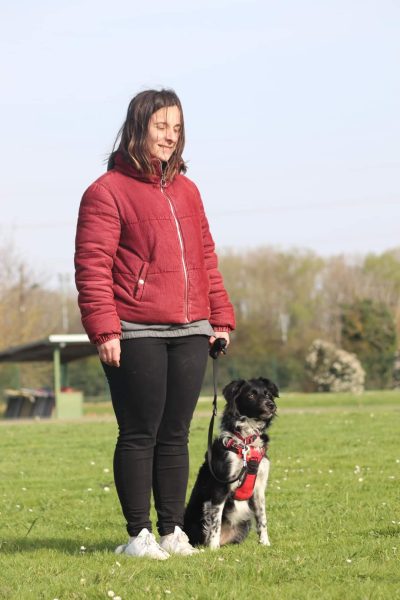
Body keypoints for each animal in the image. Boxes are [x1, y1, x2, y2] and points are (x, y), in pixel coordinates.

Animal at [184, 378, 278, 552]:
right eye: (251, 395)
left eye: (268, 394)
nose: (271, 405)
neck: (246, 442)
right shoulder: (221, 487)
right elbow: (215, 522)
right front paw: (213, 548)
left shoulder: (259, 488)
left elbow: (262, 518)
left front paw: (265, 543)